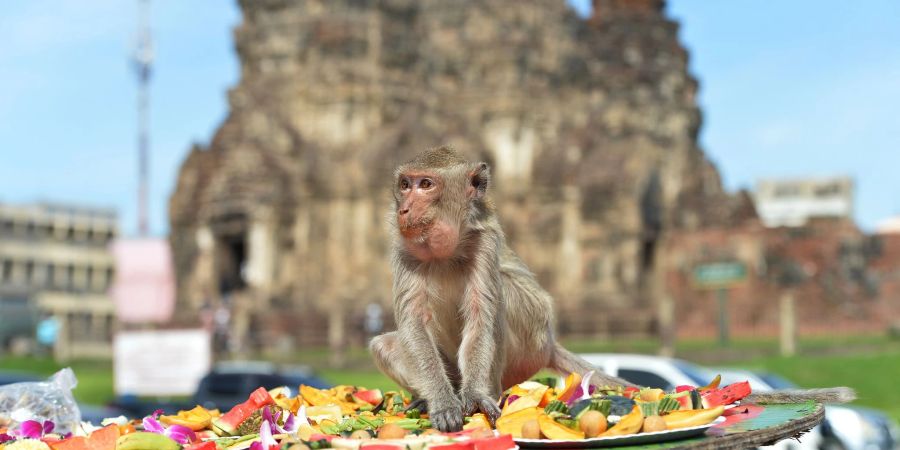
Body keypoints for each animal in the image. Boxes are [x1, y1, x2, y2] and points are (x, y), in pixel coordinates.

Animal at [370, 145, 636, 432]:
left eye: (426, 185)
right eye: (405, 185)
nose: (404, 209)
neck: (445, 253)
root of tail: (550, 346)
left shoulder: (484, 243)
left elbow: (480, 318)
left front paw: (475, 395)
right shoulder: (404, 248)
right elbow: (414, 324)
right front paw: (441, 401)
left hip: (532, 342)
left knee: (501, 293)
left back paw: (492, 393)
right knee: (383, 345)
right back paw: (427, 398)